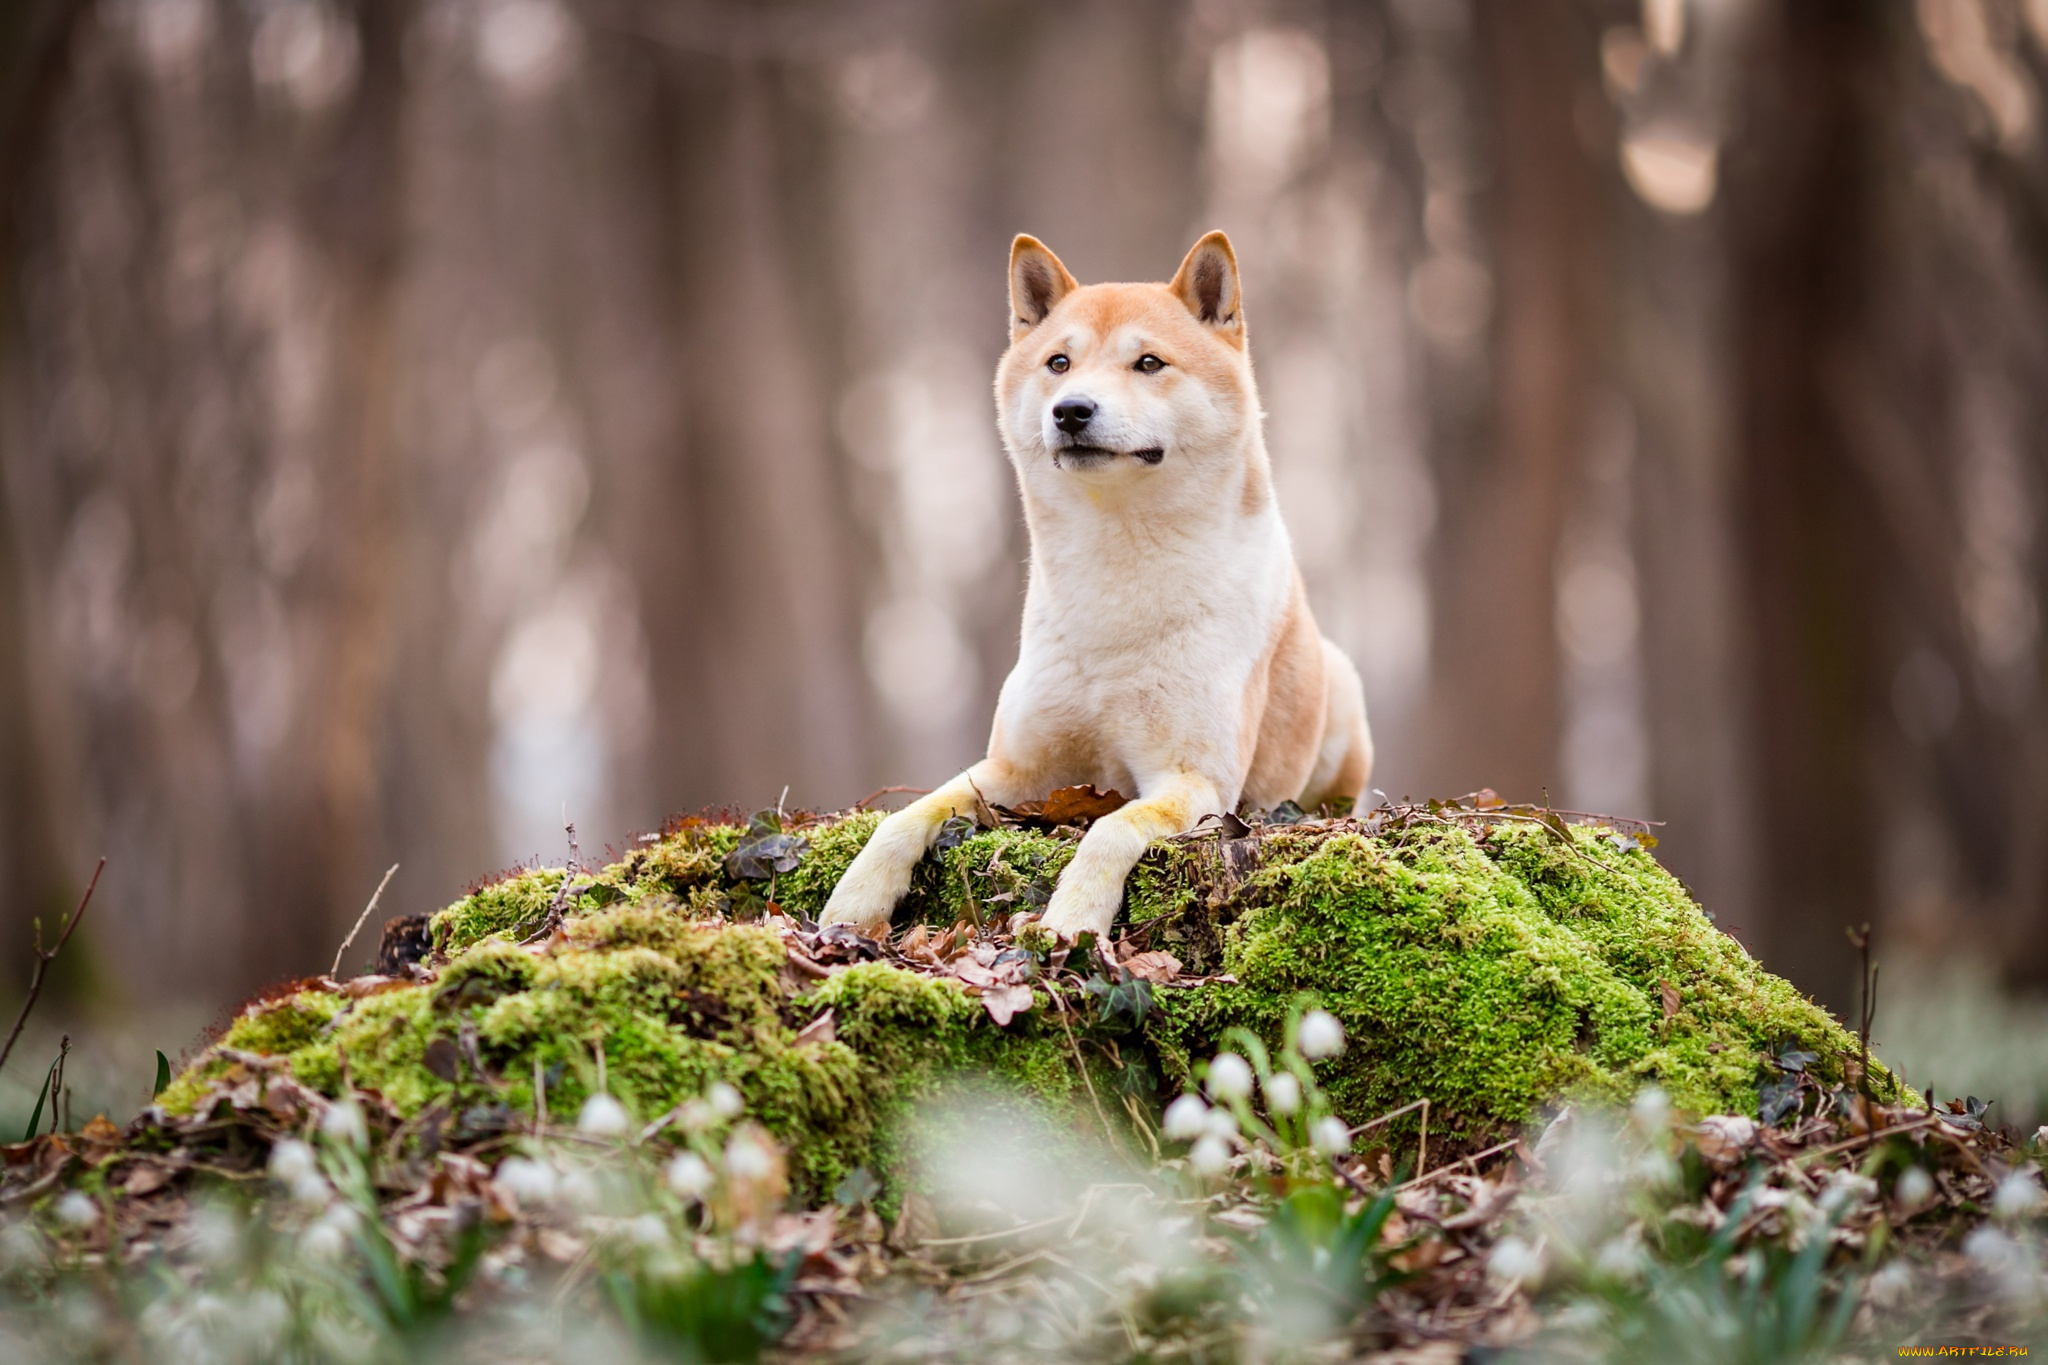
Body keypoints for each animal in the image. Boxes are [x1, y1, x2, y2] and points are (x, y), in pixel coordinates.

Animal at [819, 229, 1376, 945]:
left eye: (1148, 363)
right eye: (1059, 363)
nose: (1072, 410)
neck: (1118, 571)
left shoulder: (1194, 778)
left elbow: (1110, 827)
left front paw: (1071, 920)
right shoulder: (1015, 768)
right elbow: (908, 814)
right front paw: (854, 902)